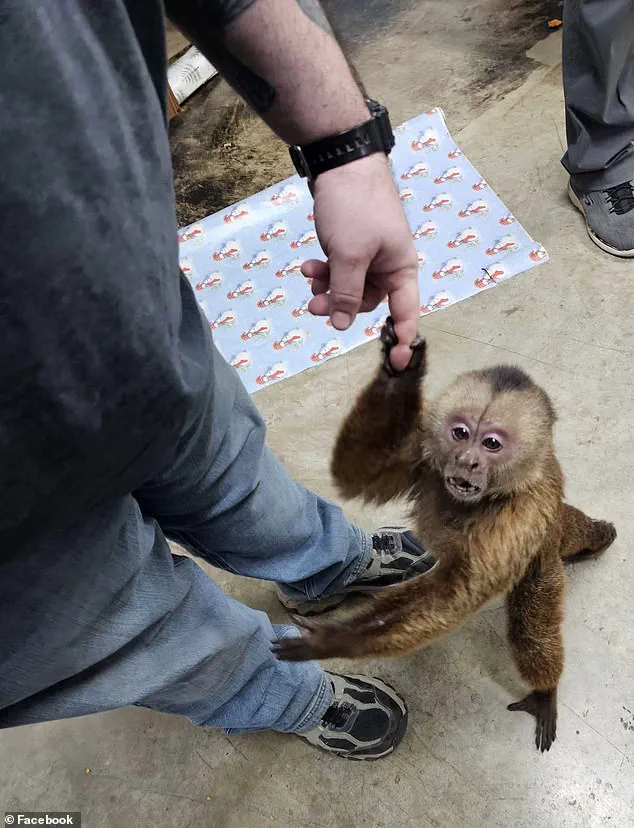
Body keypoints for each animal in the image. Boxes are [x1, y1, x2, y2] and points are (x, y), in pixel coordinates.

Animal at [274, 318, 617, 752]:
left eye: (491, 443)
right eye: (460, 433)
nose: (467, 461)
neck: (484, 498)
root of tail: (556, 525)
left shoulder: (520, 517)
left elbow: (454, 596)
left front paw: (341, 640)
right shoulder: (425, 451)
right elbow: (354, 474)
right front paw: (402, 367)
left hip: (541, 552)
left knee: (530, 627)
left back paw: (546, 690)